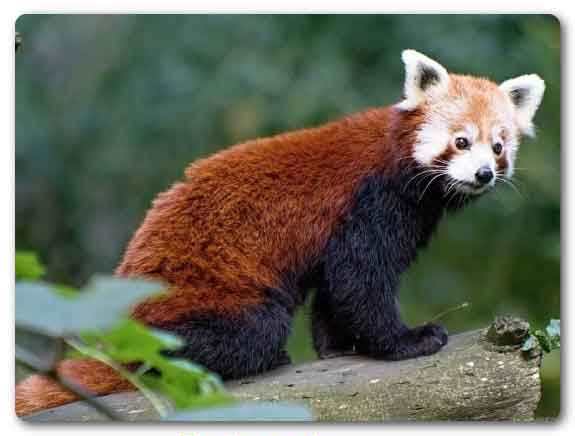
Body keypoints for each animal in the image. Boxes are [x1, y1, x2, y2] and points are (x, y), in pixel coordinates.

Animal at [14, 49, 544, 418]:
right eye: (461, 141)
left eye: (499, 146)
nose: (483, 174)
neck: (399, 163)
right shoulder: (370, 204)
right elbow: (360, 281)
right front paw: (406, 340)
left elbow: (335, 290)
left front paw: (339, 346)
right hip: (209, 303)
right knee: (241, 334)